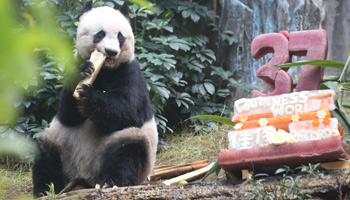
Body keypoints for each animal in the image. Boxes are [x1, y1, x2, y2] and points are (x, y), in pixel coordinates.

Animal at [32, 0, 158, 196]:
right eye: (100, 34)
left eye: (120, 36)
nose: (111, 52)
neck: (104, 70)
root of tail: (85, 176)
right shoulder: (74, 64)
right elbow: (67, 114)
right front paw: (84, 73)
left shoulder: (130, 71)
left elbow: (129, 110)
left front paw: (90, 96)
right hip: (60, 141)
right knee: (45, 153)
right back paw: (46, 189)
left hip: (124, 144)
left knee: (127, 151)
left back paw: (113, 182)